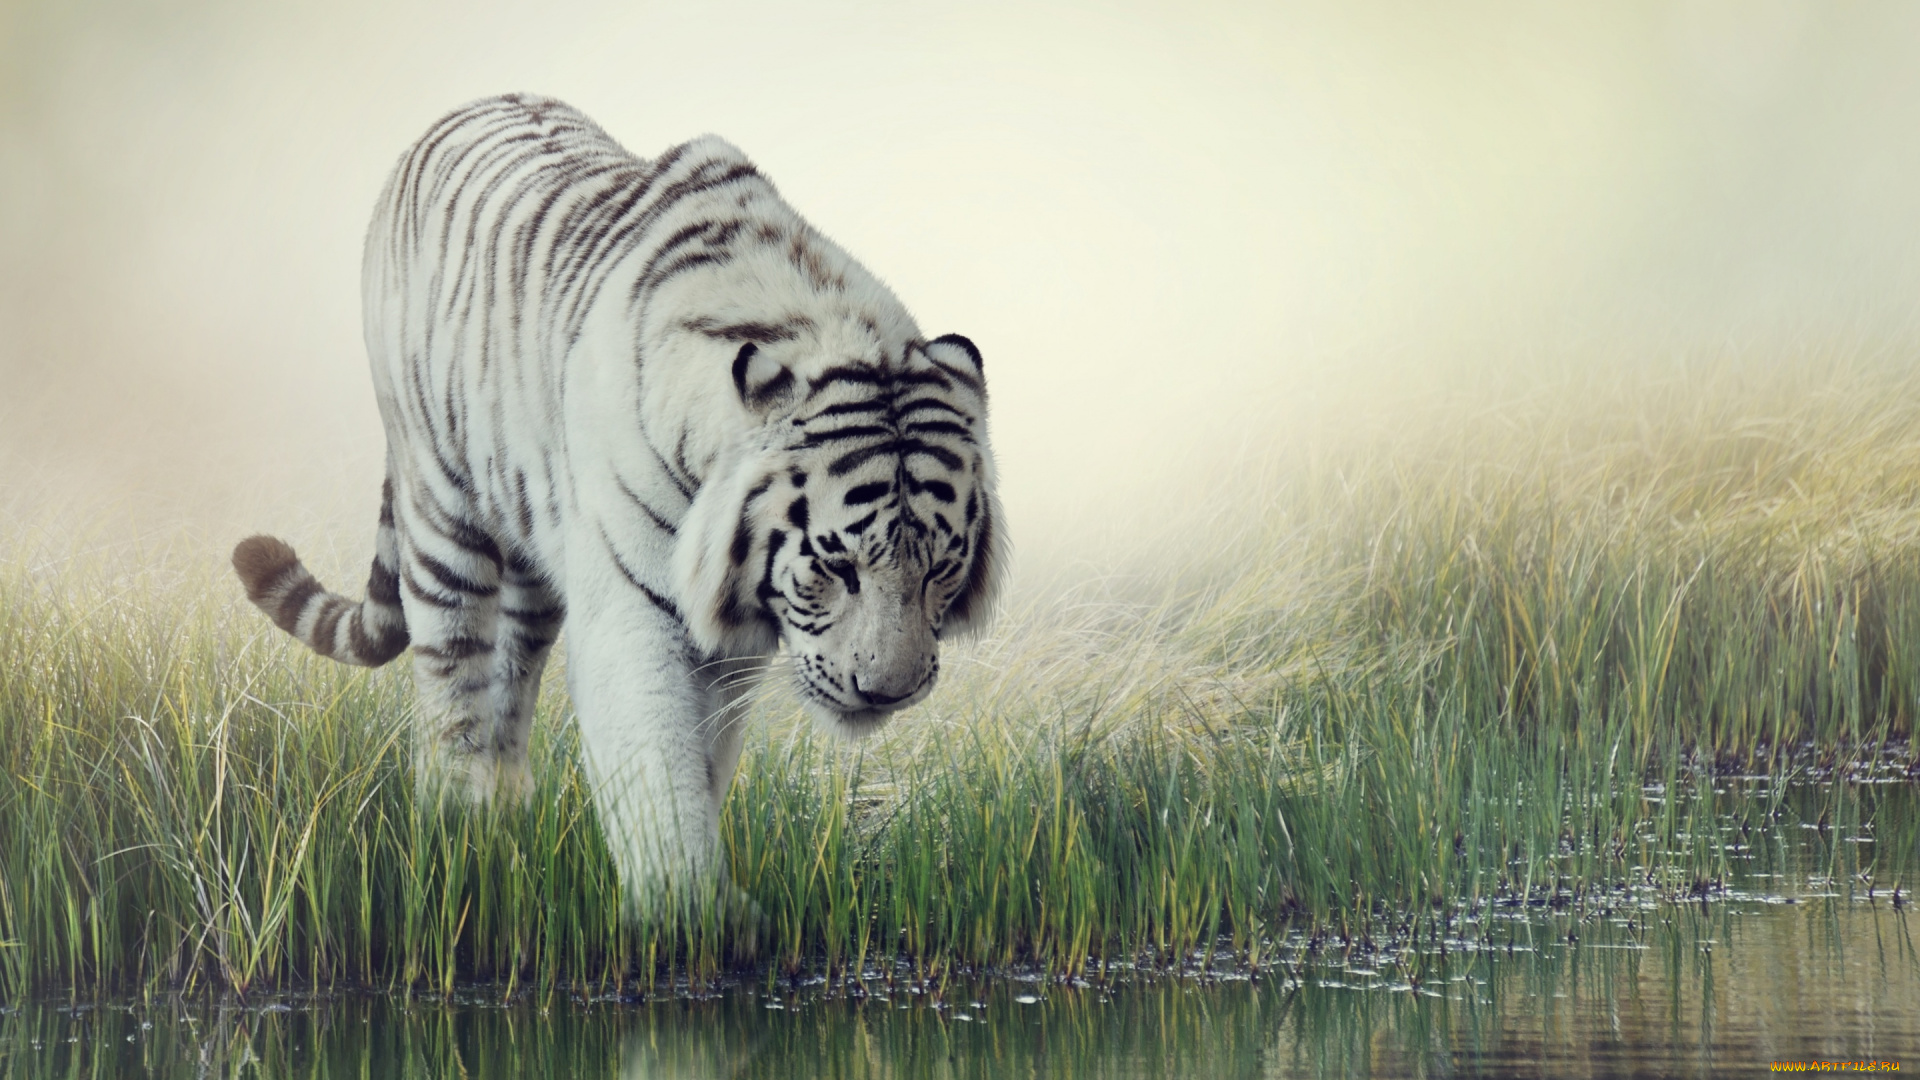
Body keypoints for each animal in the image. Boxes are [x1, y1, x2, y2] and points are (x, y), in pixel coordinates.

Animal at [231, 94, 1003, 910]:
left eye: (940, 569)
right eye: (836, 566)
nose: (887, 692)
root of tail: (460, 111)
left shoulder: (728, 644)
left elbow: (703, 758)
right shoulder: (633, 611)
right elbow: (657, 763)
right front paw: (687, 910)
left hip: (535, 553)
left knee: (510, 680)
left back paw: (508, 815)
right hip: (441, 513)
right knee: (452, 682)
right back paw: (458, 828)